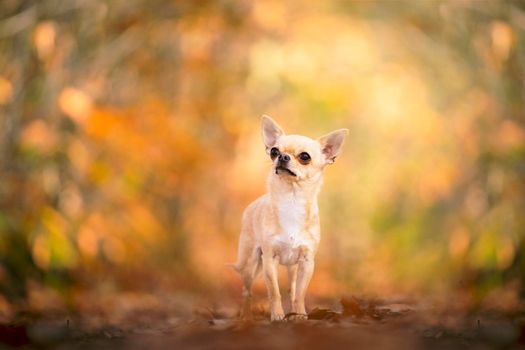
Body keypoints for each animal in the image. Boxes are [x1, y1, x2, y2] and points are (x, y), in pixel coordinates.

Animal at [230, 116, 346, 322]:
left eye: (305, 157)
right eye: (274, 151)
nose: (282, 157)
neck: (292, 200)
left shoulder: (307, 262)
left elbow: (299, 293)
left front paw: (299, 315)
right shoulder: (269, 259)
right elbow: (274, 292)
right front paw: (277, 315)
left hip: (292, 267)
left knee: (291, 289)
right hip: (250, 262)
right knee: (246, 291)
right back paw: (246, 317)